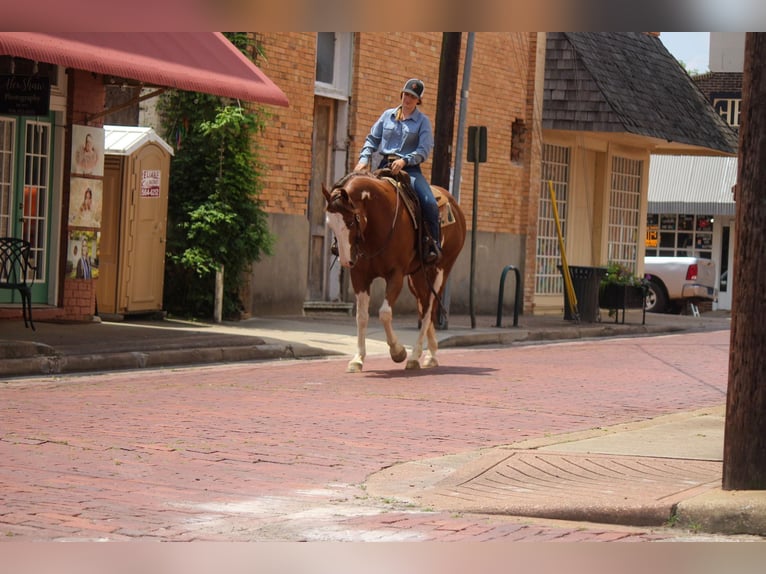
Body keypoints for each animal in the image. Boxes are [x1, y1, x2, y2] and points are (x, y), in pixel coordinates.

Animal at [324, 170, 468, 374]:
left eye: (351, 221)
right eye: (330, 224)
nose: (345, 260)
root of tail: (454, 204)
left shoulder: (396, 275)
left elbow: (384, 313)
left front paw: (398, 352)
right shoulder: (359, 275)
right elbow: (361, 316)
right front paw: (358, 359)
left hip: (441, 270)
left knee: (428, 311)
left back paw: (415, 357)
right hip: (417, 277)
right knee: (424, 307)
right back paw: (431, 355)